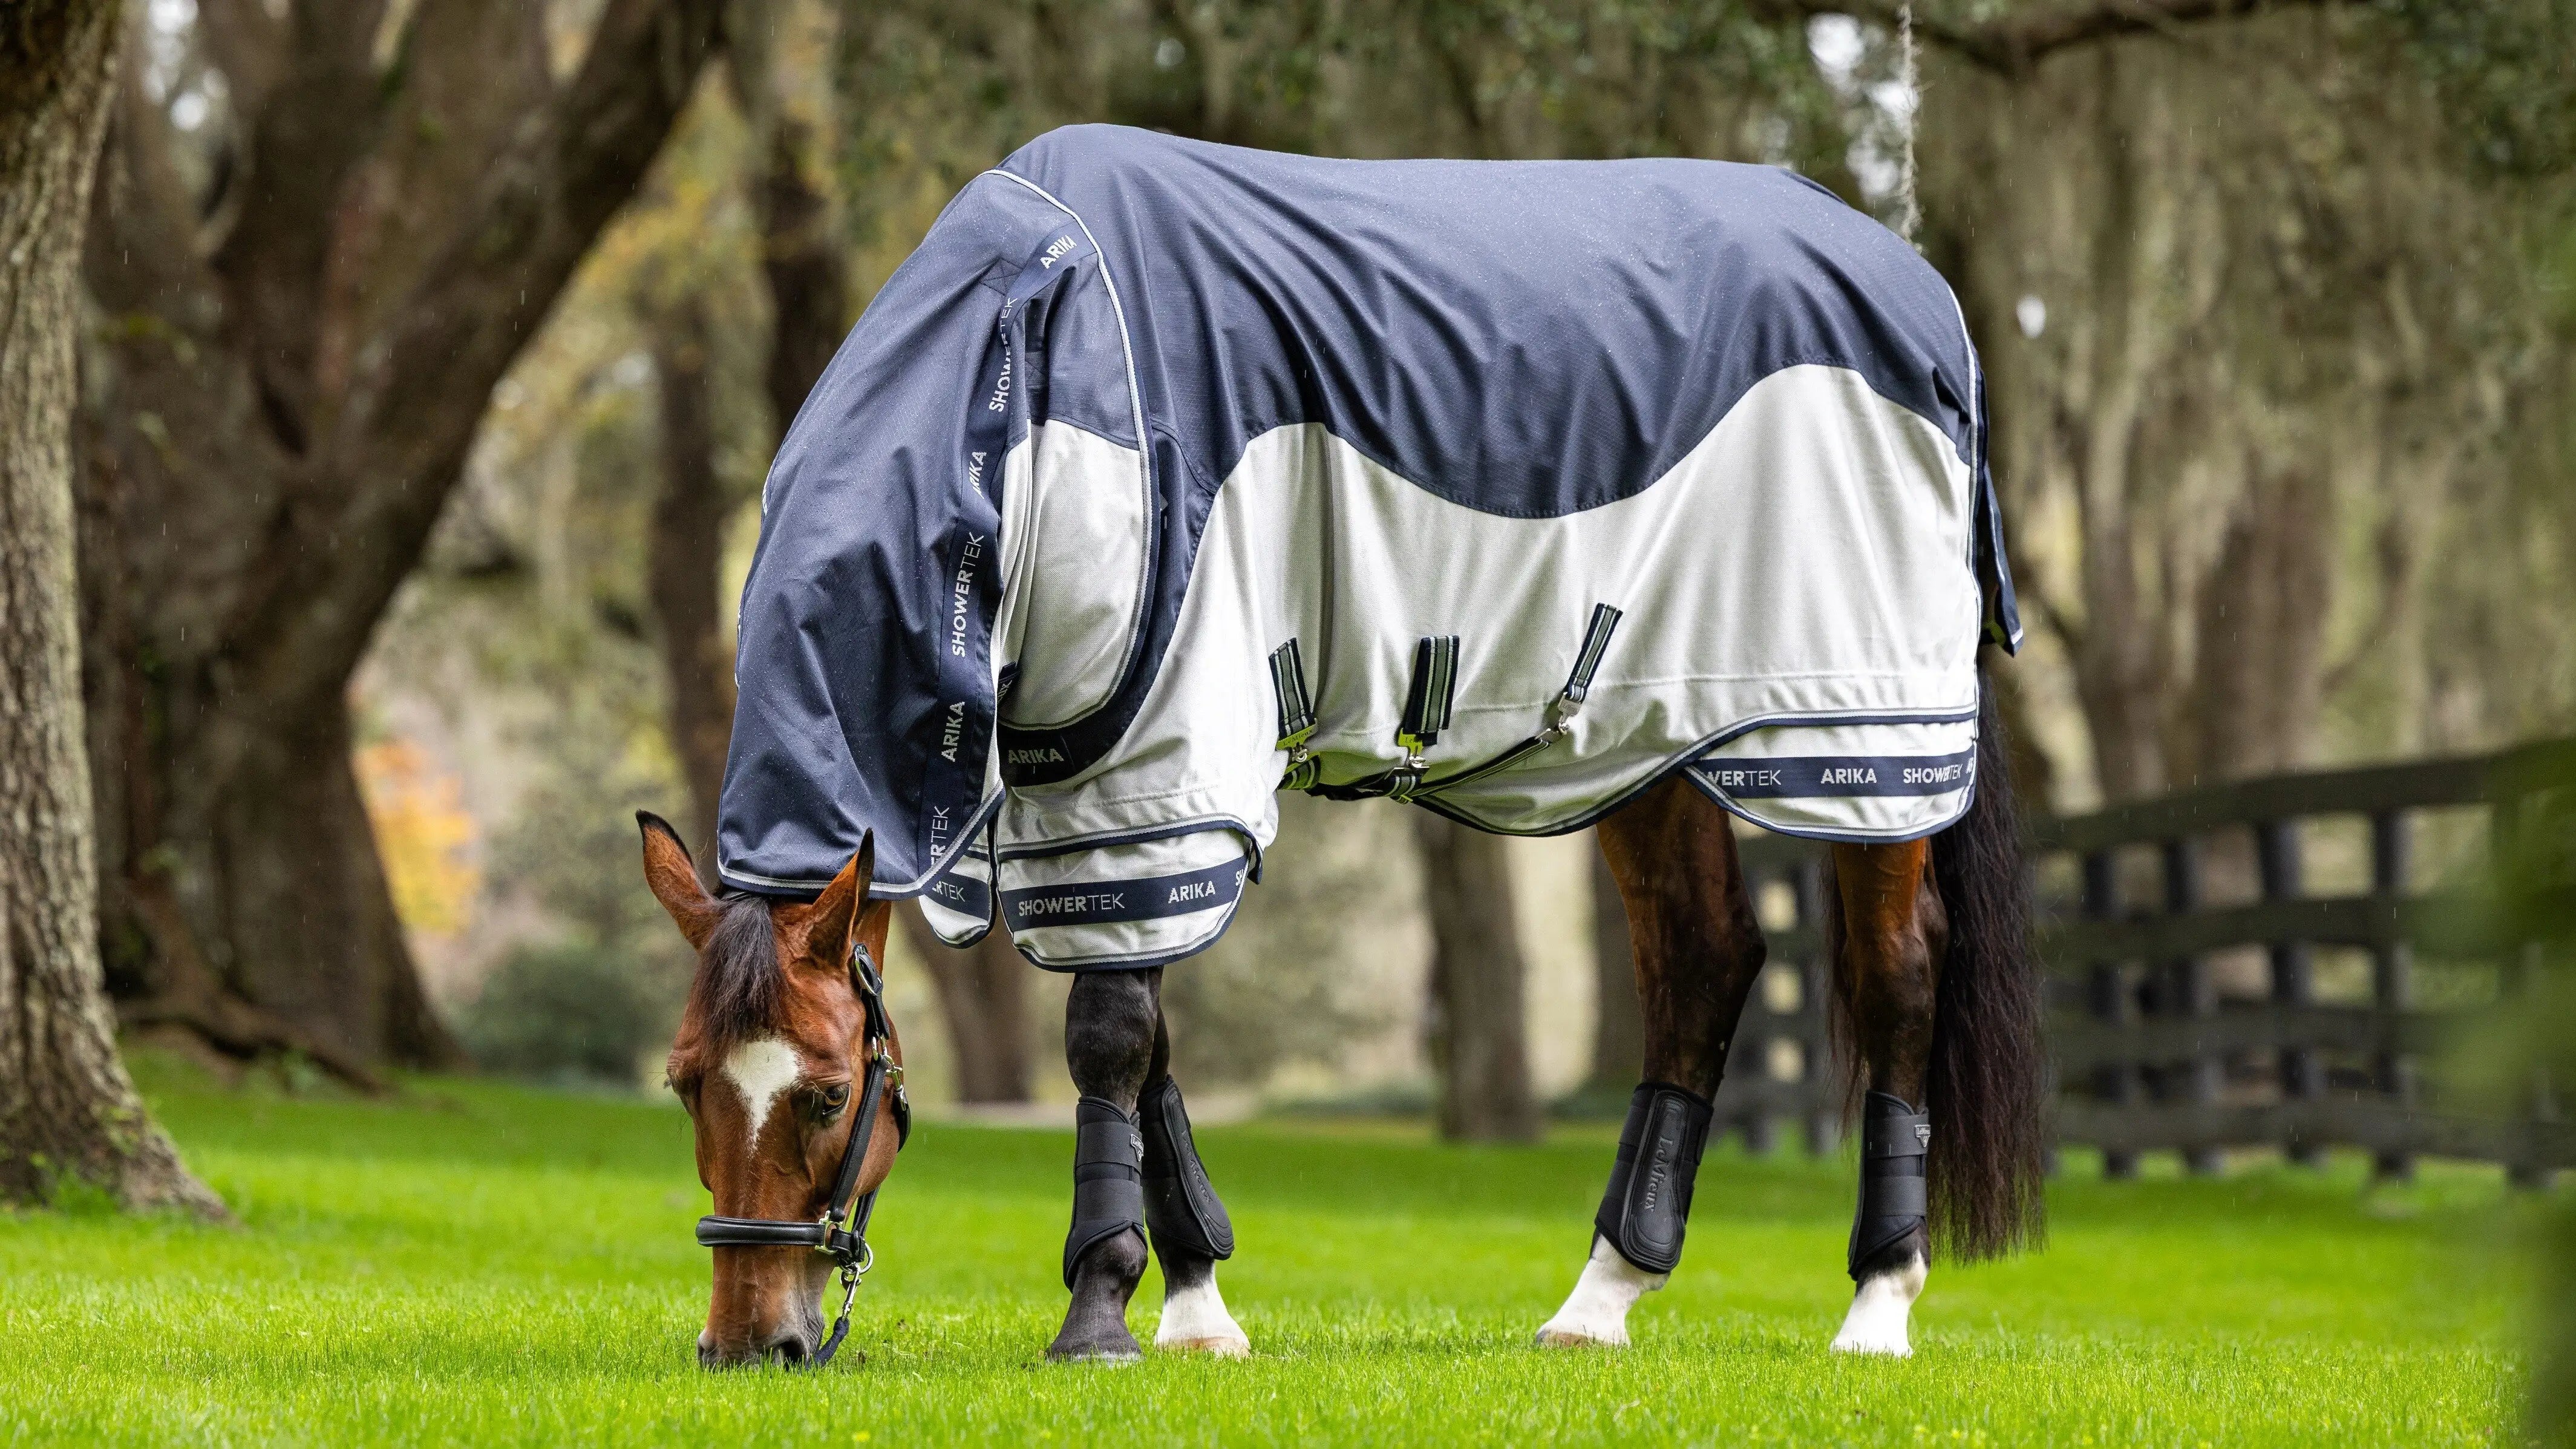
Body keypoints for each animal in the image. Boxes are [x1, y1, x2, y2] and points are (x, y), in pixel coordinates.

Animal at [642, 123, 2048, 1366]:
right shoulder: (1091, 789)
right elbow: (1147, 1046)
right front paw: (1196, 1307)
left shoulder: (1157, 763)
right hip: (1651, 733)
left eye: (828, 1090)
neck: (1044, 373)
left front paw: (1099, 1315)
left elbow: (1108, 1036)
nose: (753, 1344)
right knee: (1703, 962)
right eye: (684, 1082)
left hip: (1856, 737)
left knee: (1895, 974)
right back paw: (1598, 1303)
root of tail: (1916, 287)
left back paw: (1876, 1307)